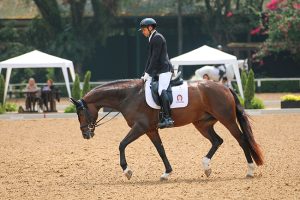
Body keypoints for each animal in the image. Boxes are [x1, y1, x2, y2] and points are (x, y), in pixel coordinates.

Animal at [69, 78, 262, 181]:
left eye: (81, 112)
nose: (85, 134)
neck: (129, 96)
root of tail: (224, 87)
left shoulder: (140, 127)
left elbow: (121, 144)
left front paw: (127, 171)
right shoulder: (150, 130)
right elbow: (160, 150)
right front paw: (166, 173)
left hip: (227, 119)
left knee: (241, 139)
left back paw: (250, 170)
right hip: (202, 124)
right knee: (217, 140)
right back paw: (206, 167)